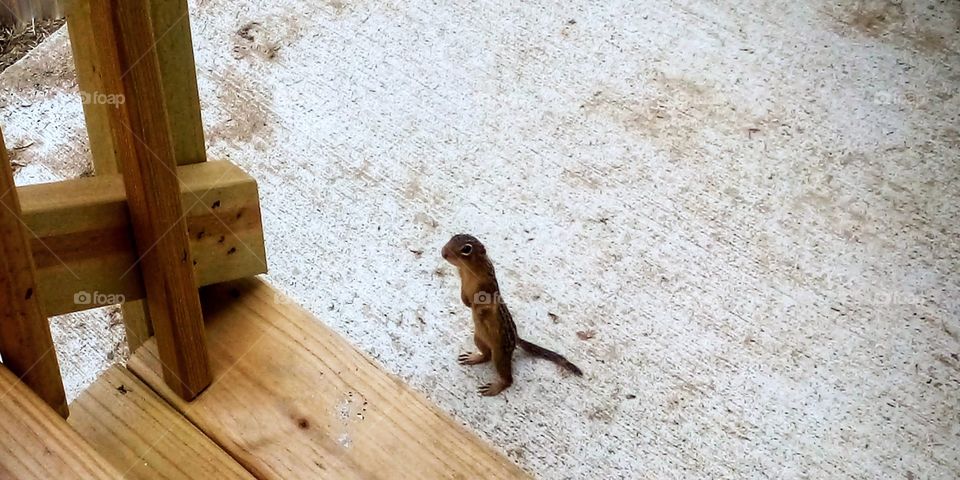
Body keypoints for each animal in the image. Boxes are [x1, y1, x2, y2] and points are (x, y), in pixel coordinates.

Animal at [441, 234, 582, 396]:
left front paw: (479, 311)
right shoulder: (463, 282)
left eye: (466, 249)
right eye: (452, 237)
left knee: (508, 378)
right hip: (479, 339)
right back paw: (474, 358)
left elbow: (486, 305)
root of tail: (516, 339)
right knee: (486, 355)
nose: (443, 253)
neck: (467, 270)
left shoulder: (489, 289)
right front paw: (467, 304)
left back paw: (496, 387)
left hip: (500, 355)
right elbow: (464, 297)